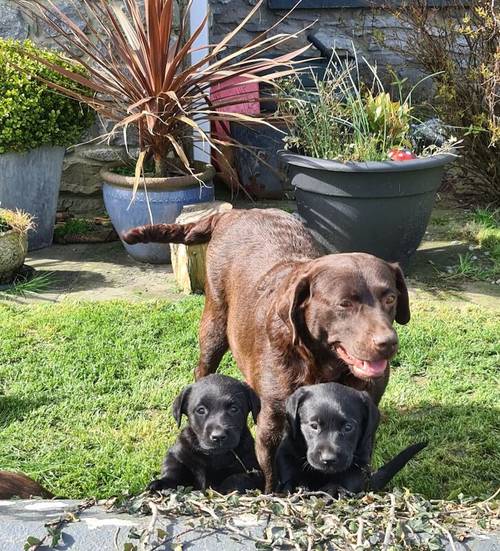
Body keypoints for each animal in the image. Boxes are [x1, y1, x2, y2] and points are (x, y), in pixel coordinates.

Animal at [274, 384, 426, 496]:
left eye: (348, 427)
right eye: (314, 426)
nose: (328, 459)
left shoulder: (361, 464)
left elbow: (350, 479)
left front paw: (333, 489)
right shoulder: (287, 451)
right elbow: (289, 471)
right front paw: (295, 487)